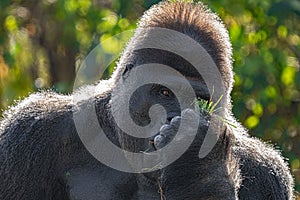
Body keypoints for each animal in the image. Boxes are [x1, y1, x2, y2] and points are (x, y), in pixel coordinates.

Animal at [0, 0, 296, 199]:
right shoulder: (30, 132)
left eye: (198, 100)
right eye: (164, 93)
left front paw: (200, 160)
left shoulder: (267, 172)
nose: (171, 117)